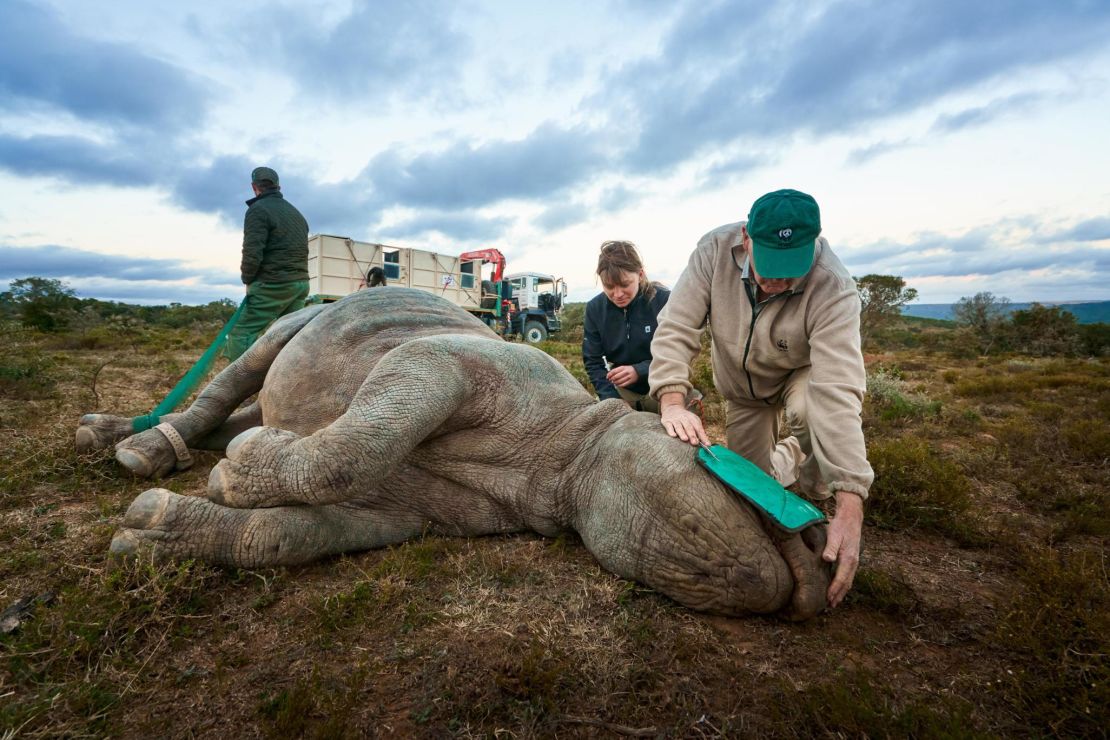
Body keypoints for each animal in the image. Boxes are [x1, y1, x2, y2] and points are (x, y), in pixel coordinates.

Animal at [78, 288, 830, 621]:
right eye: (754, 466)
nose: (824, 567)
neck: (564, 457)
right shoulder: (442, 361)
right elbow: (352, 448)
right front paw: (239, 467)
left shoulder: (420, 514)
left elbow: (296, 533)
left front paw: (154, 533)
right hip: (308, 315)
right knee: (255, 360)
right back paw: (139, 447)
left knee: (260, 400)